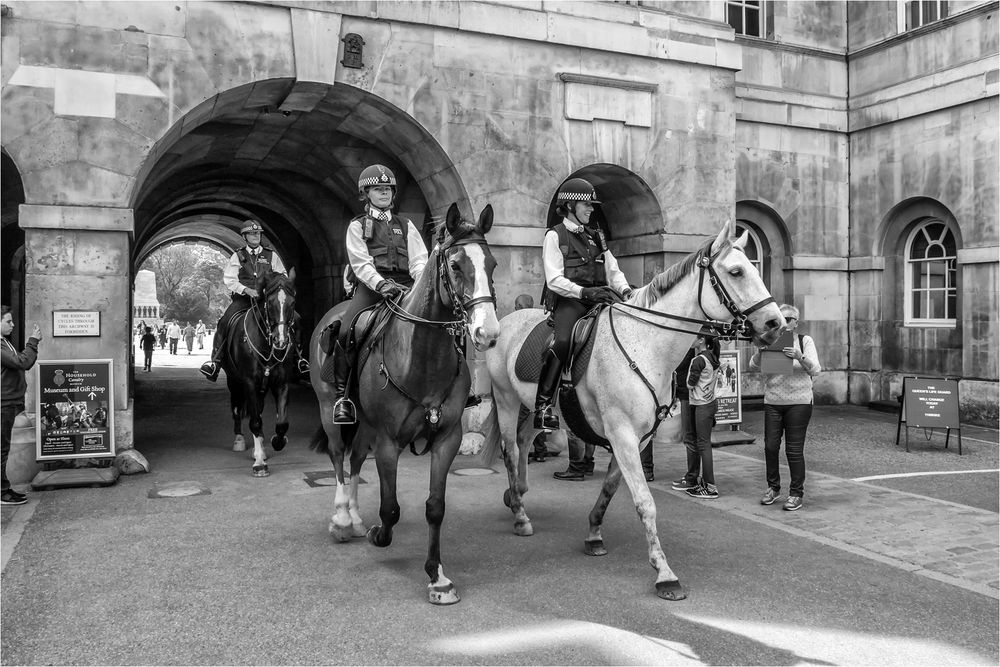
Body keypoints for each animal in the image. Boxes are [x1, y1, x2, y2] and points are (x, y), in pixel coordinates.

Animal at [220, 268, 294, 478]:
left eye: (292, 303)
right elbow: (254, 422)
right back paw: (240, 440)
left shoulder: (281, 383)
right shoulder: (249, 383)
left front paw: (277, 441)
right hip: (234, 382)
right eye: (270, 302)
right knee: (238, 409)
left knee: (257, 411)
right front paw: (260, 463)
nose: (280, 340)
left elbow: (282, 422)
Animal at [308, 204, 500, 604]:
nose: (488, 333)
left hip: (365, 425)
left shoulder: (446, 439)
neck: (422, 358)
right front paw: (378, 534)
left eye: (492, 264)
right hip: (331, 411)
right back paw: (342, 520)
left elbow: (435, 508)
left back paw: (354, 517)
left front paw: (437, 577)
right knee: (338, 457)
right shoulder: (388, 442)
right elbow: (391, 508)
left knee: (354, 458)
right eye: (455, 265)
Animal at [486, 222, 788, 604]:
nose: (776, 323)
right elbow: (645, 501)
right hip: (506, 399)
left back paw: (518, 492)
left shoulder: (637, 438)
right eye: (736, 271)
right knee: (511, 449)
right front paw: (665, 574)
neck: (644, 343)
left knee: (526, 440)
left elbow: (611, 488)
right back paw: (520, 515)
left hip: (538, 409)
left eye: (753, 266)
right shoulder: (623, 435)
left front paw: (594, 533)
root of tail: (506, 322)